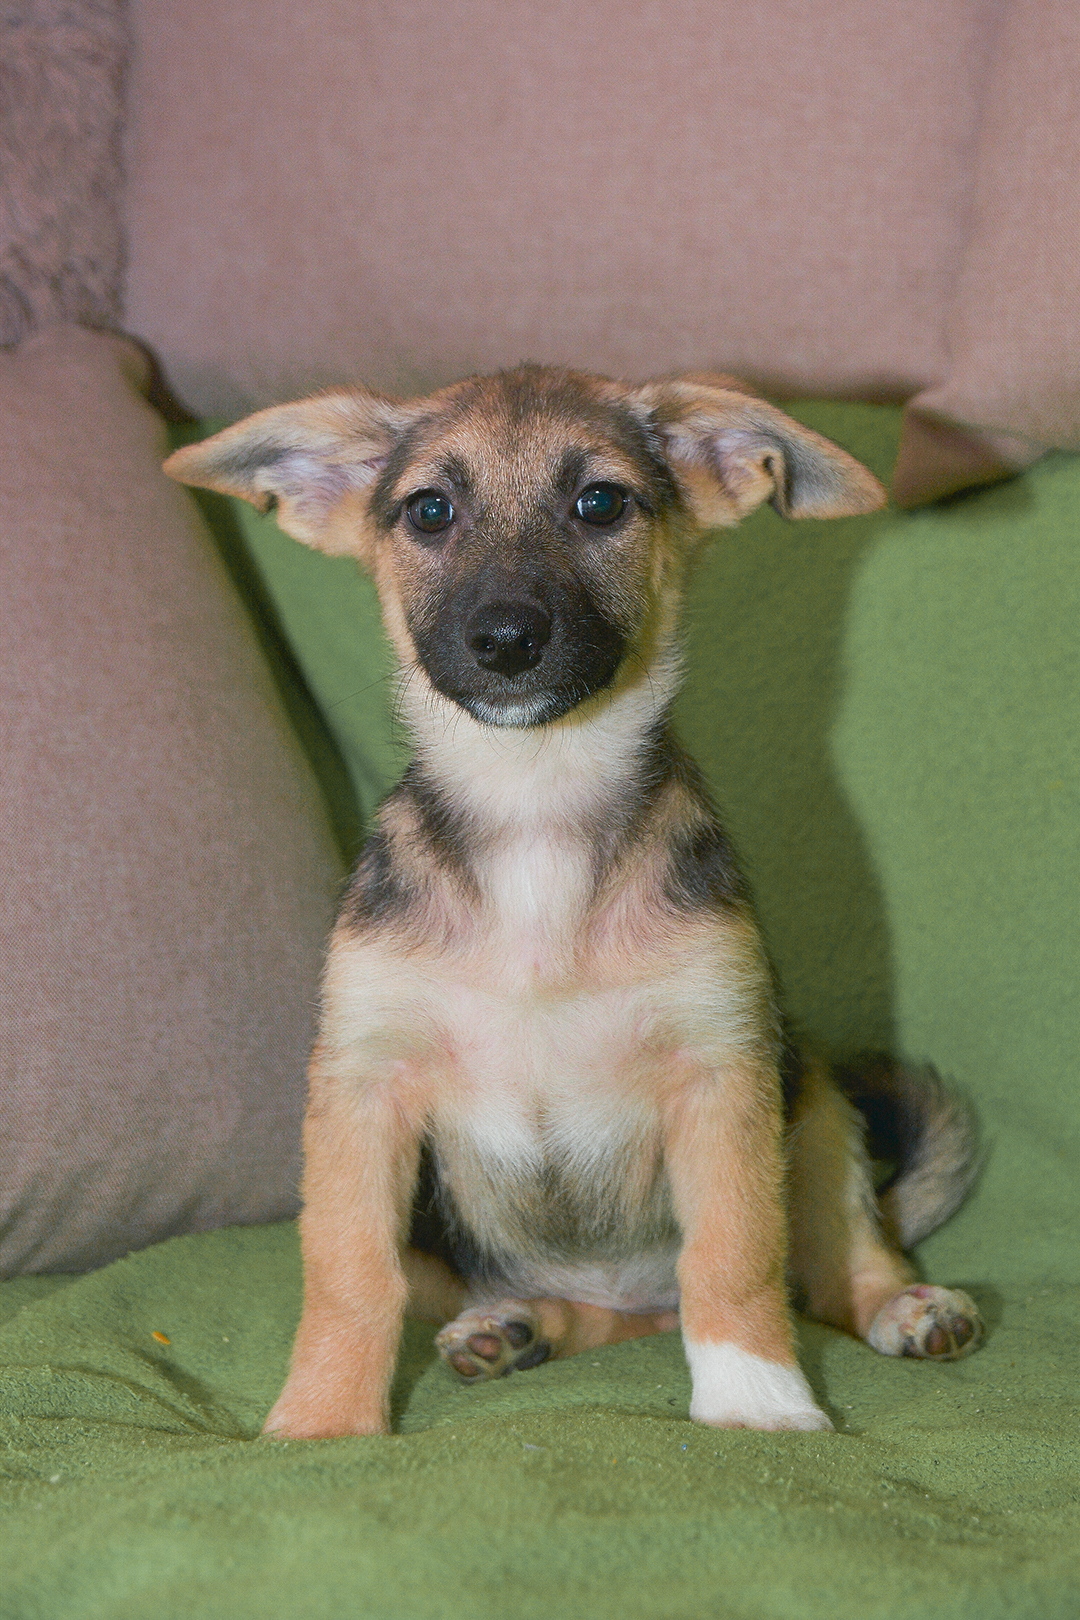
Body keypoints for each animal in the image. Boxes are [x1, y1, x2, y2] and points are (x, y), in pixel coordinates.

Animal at [165, 365, 983, 1437]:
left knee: (831, 1256)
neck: (536, 811)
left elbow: (737, 1258)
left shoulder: (721, 1068)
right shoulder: (362, 1086)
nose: (506, 640)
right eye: (429, 510)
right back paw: (518, 1327)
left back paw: (902, 1305)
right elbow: (347, 1274)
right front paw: (322, 1425)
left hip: (813, 1095)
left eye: (601, 503)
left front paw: (756, 1405)